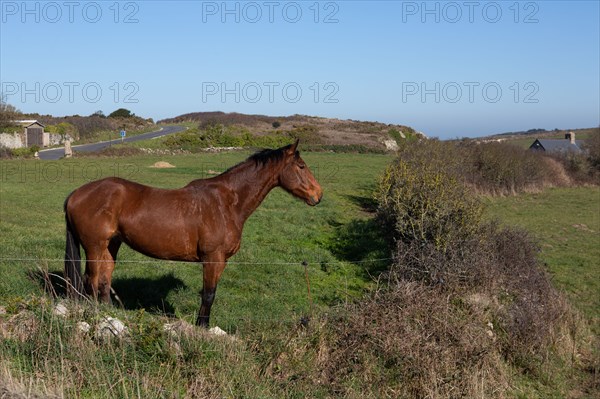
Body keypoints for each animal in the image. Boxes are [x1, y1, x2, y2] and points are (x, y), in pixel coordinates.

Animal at [63, 141, 322, 328]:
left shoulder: (221, 261)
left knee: (104, 279)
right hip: (94, 246)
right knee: (91, 280)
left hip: (111, 245)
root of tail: (76, 193)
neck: (227, 203)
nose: (318, 195)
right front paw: (202, 327)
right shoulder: (213, 258)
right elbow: (209, 294)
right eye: (301, 166)